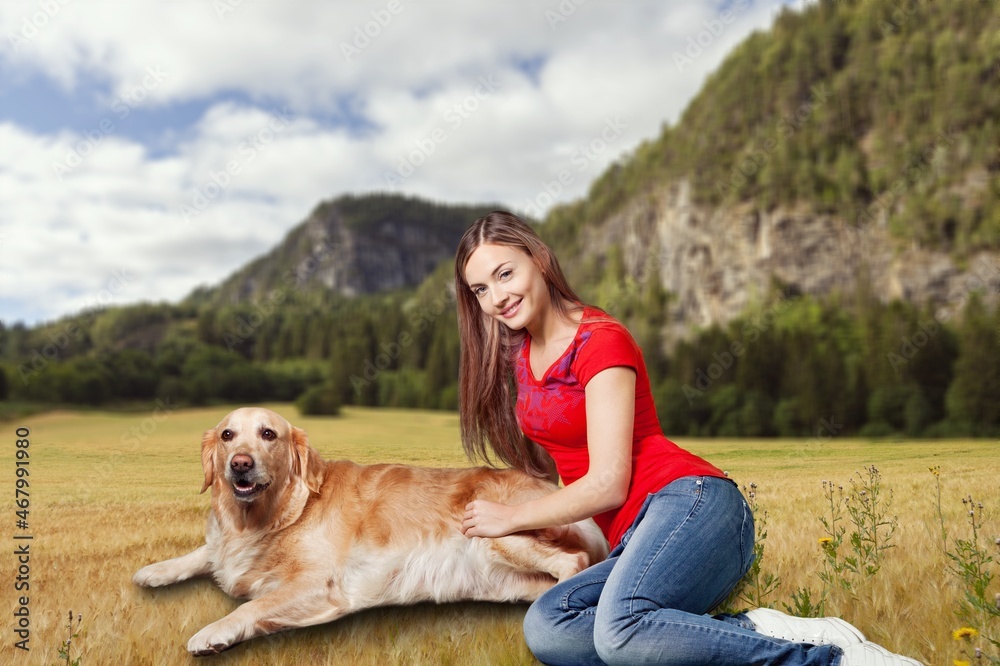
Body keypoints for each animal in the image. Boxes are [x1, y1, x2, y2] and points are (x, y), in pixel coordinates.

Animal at [133, 404, 608, 652]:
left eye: (269, 434)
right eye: (228, 435)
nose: (240, 465)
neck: (275, 515)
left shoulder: (318, 584)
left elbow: (251, 606)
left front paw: (211, 632)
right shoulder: (225, 545)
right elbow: (203, 552)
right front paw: (156, 570)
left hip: (490, 532)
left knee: (574, 562)